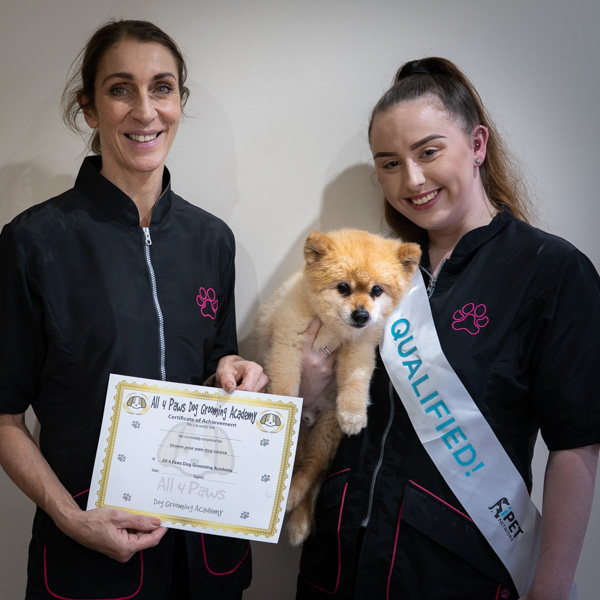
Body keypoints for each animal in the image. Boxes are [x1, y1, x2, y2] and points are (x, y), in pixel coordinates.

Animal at [251, 227, 420, 548]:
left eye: (376, 291)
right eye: (343, 287)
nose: (362, 315)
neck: (333, 328)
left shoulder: (360, 349)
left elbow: (356, 380)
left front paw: (353, 414)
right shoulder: (288, 345)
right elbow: (286, 385)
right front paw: (284, 407)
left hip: (327, 433)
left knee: (311, 470)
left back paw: (296, 509)